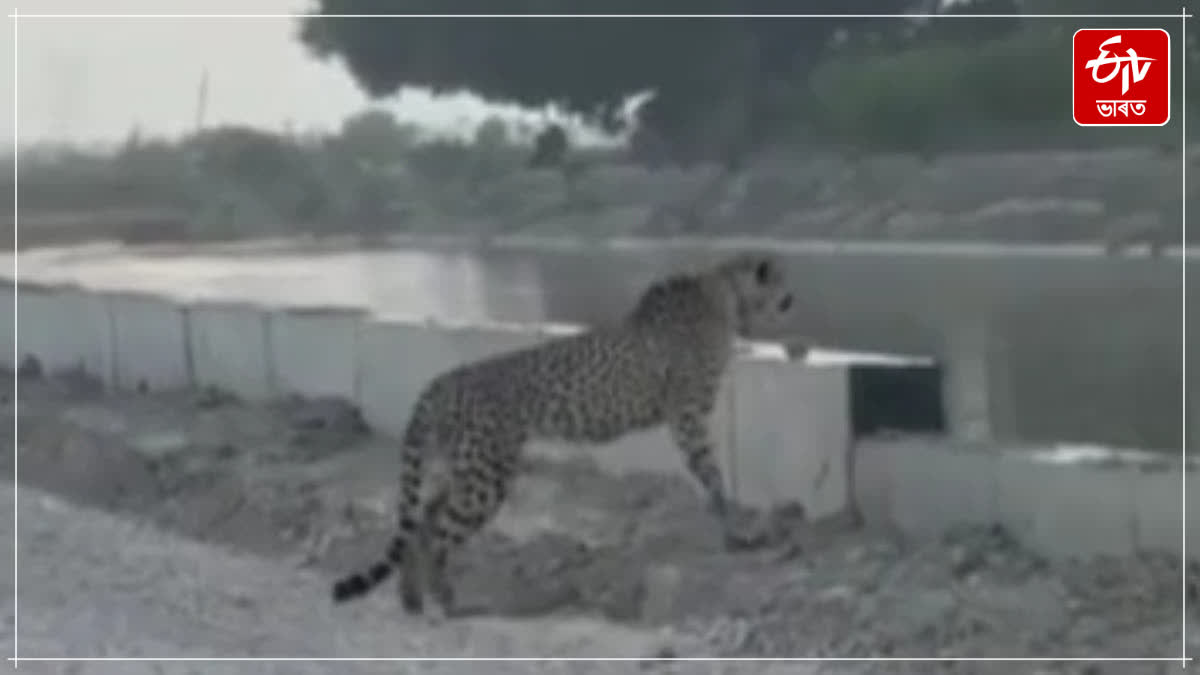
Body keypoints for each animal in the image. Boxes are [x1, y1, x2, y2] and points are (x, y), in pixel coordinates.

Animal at [330, 252, 795, 616]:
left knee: (422, 521)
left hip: (461, 467)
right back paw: (447, 601)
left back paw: (411, 598)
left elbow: (712, 478)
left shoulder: (687, 417)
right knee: (440, 531)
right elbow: (713, 475)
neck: (725, 294)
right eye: (781, 281)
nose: (792, 299)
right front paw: (737, 533)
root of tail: (441, 381)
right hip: (485, 475)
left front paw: (731, 527)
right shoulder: (688, 418)